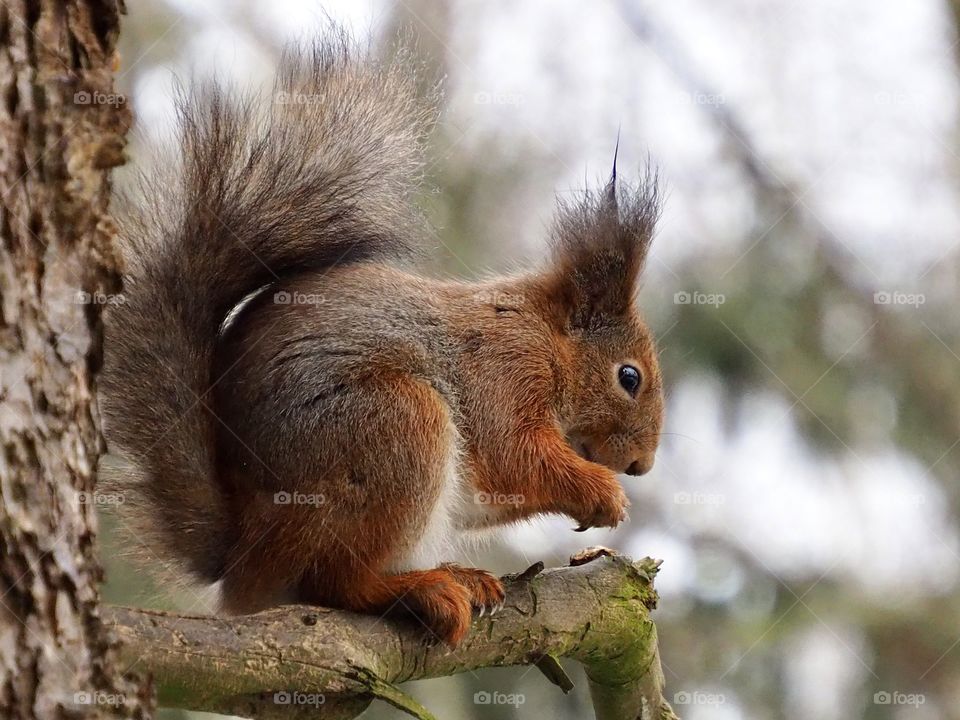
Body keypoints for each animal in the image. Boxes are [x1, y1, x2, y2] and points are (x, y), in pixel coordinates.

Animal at [99, 32, 664, 648]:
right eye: (628, 377)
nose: (642, 465)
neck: (545, 338)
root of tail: (242, 561)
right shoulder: (502, 370)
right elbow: (512, 456)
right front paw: (603, 493)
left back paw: (459, 575)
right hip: (395, 424)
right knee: (335, 582)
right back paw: (420, 589)